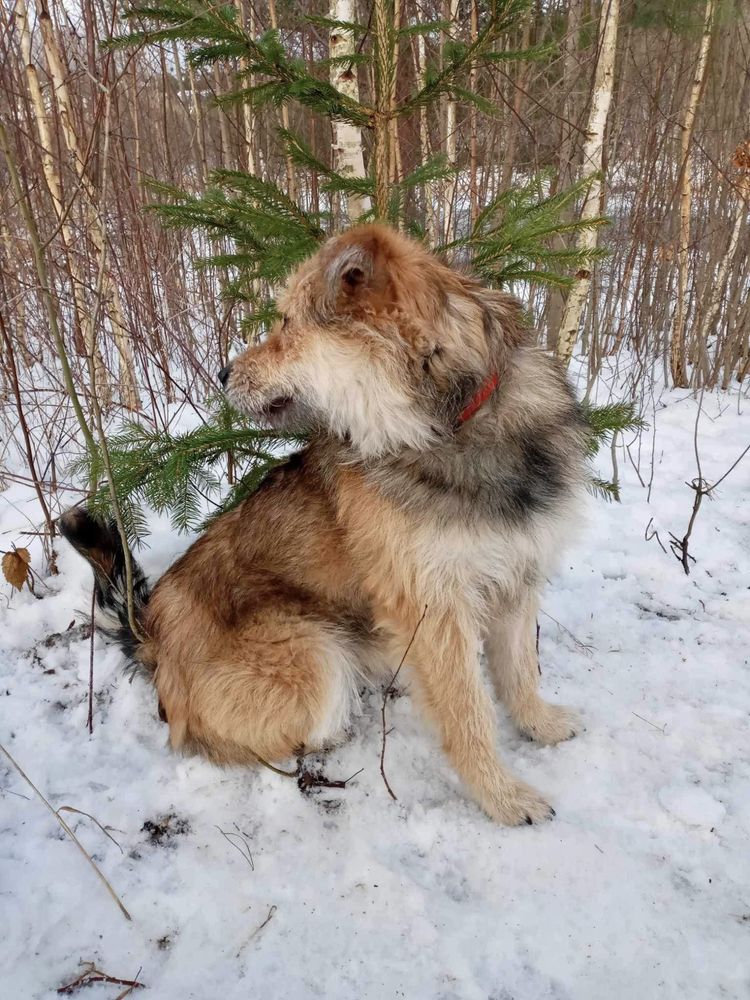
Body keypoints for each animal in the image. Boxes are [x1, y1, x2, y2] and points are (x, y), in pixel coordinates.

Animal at [61, 227, 592, 828]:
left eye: (288, 324)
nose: (221, 375)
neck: (453, 426)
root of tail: (153, 637)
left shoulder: (517, 574)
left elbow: (521, 671)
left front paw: (539, 724)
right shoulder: (432, 611)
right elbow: (468, 714)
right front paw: (502, 796)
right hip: (314, 657)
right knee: (211, 738)